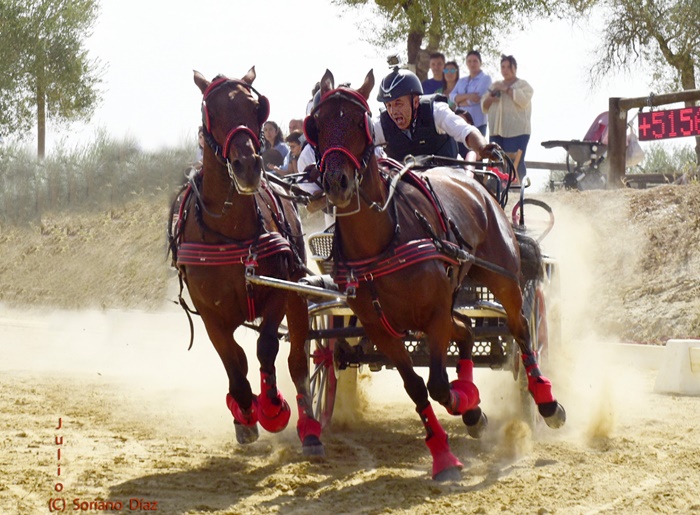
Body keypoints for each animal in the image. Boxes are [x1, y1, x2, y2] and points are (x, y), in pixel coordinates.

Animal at [170, 67, 322, 456]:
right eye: (211, 110)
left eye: (257, 108)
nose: (249, 166)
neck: (231, 232)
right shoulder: (210, 312)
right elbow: (233, 361)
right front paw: (244, 412)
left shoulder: (278, 293)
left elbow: (266, 348)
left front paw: (272, 408)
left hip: (298, 295)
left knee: (299, 360)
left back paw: (309, 428)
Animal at [304, 70, 568, 482]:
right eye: (316, 124)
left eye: (360, 122)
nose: (336, 183)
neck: (386, 236)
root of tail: (473, 181)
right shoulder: (382, 329)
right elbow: (418, 388)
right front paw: (447, 448)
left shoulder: (433, 316)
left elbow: (439, 385)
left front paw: (467, 409)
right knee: (468, 330)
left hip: (503, 279)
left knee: (521, 330)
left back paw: (546, 402)